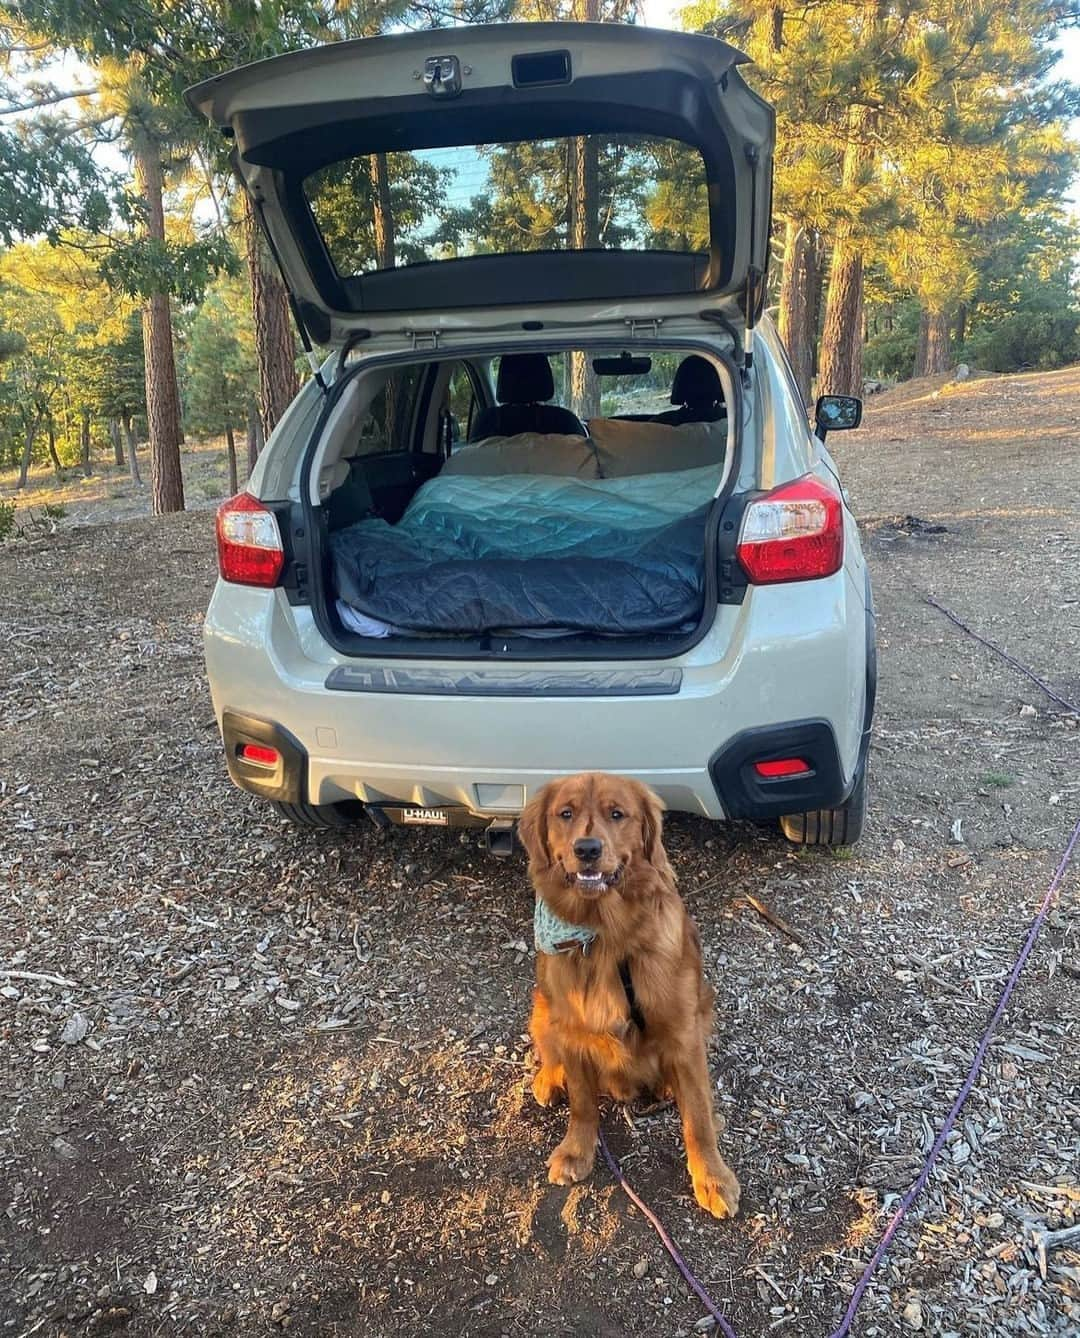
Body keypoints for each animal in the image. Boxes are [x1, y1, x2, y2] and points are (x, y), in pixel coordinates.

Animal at [516, 776, 738, 1225]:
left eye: (617, 814)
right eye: (565, 813)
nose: (587, 848)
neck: (607, 936)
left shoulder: (683, 1029)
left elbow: (698, 1118)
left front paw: (712, 1179)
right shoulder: (575, 1029)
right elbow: (583, 1103)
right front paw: (577, 1151)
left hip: (703, 1005)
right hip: (543, 1007)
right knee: (549, 1052)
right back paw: (549, 1079)